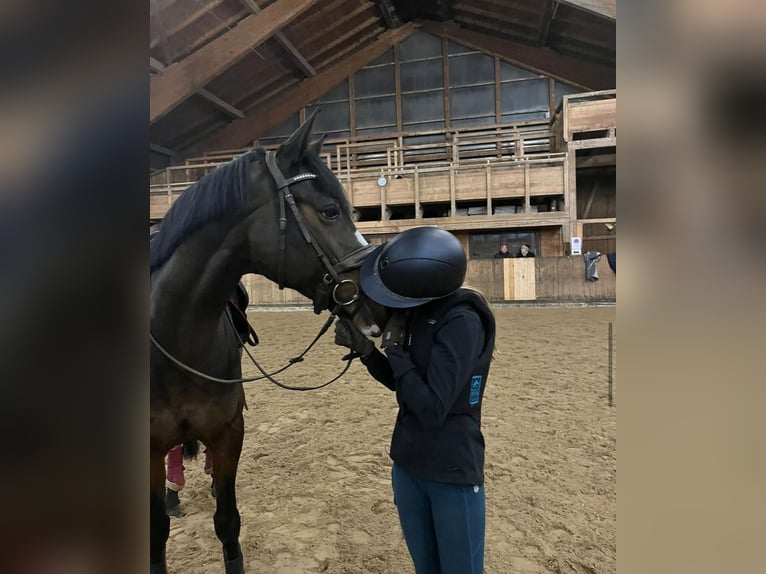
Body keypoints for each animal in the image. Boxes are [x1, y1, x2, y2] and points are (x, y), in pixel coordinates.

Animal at [148, 113, 380, 574]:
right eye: (330, 212)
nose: (372, 298)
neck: (174, 339)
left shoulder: (229, 434)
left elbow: (228, 522)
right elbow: (156, 532)